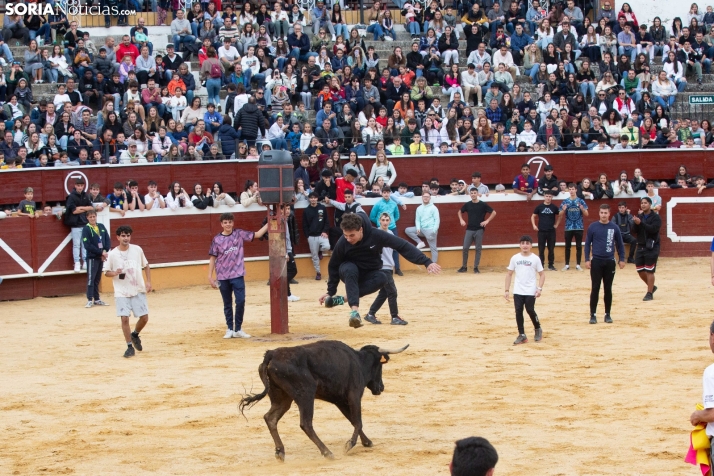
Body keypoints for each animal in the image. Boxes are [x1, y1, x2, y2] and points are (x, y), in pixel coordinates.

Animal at [238, 338, 406, 462]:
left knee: (270, 418)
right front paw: (350, 445)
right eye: (380, 366)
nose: (381, 387)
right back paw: (327, 452)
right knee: (306, 424)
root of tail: (271, 354)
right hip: (306, 395)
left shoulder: (340, 401)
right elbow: (358, 421)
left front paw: (367, 442)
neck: (359, 361)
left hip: (282, 398)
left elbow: (352, 420)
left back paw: (280, 452)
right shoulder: (354, 395)